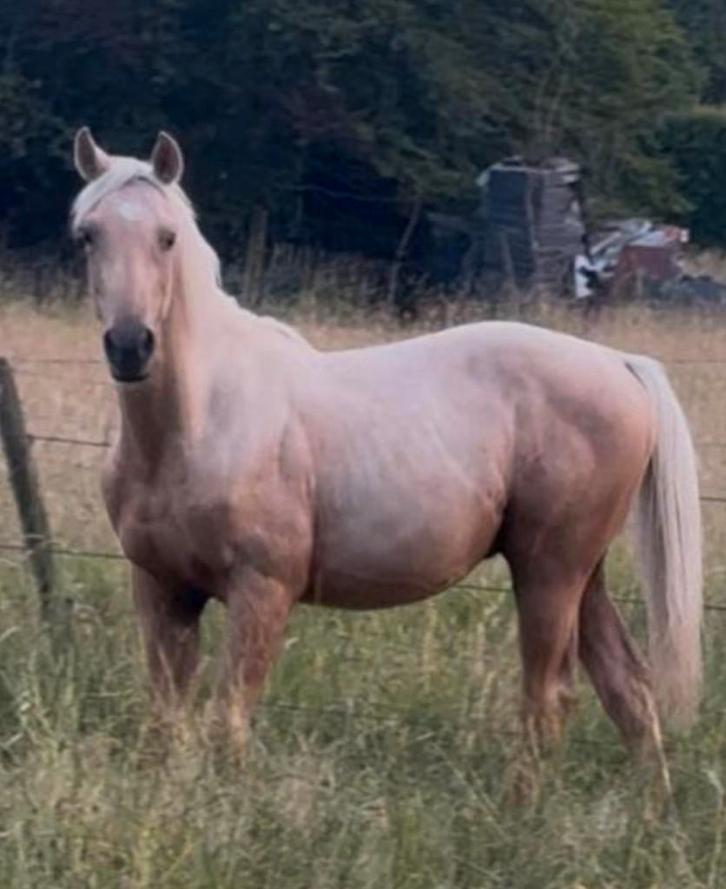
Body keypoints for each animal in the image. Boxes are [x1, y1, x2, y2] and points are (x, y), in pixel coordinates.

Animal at [71, 128, 702, 785]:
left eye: (166, 237)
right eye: (87, 234)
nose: (130, 345)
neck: (198, 424)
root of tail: (619, 362)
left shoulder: (261, 593)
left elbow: (230, 723)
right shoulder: (163, 592)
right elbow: (166, 722)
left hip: (550, 574)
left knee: (548, 700)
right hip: (582, 575)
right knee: (629, 689)